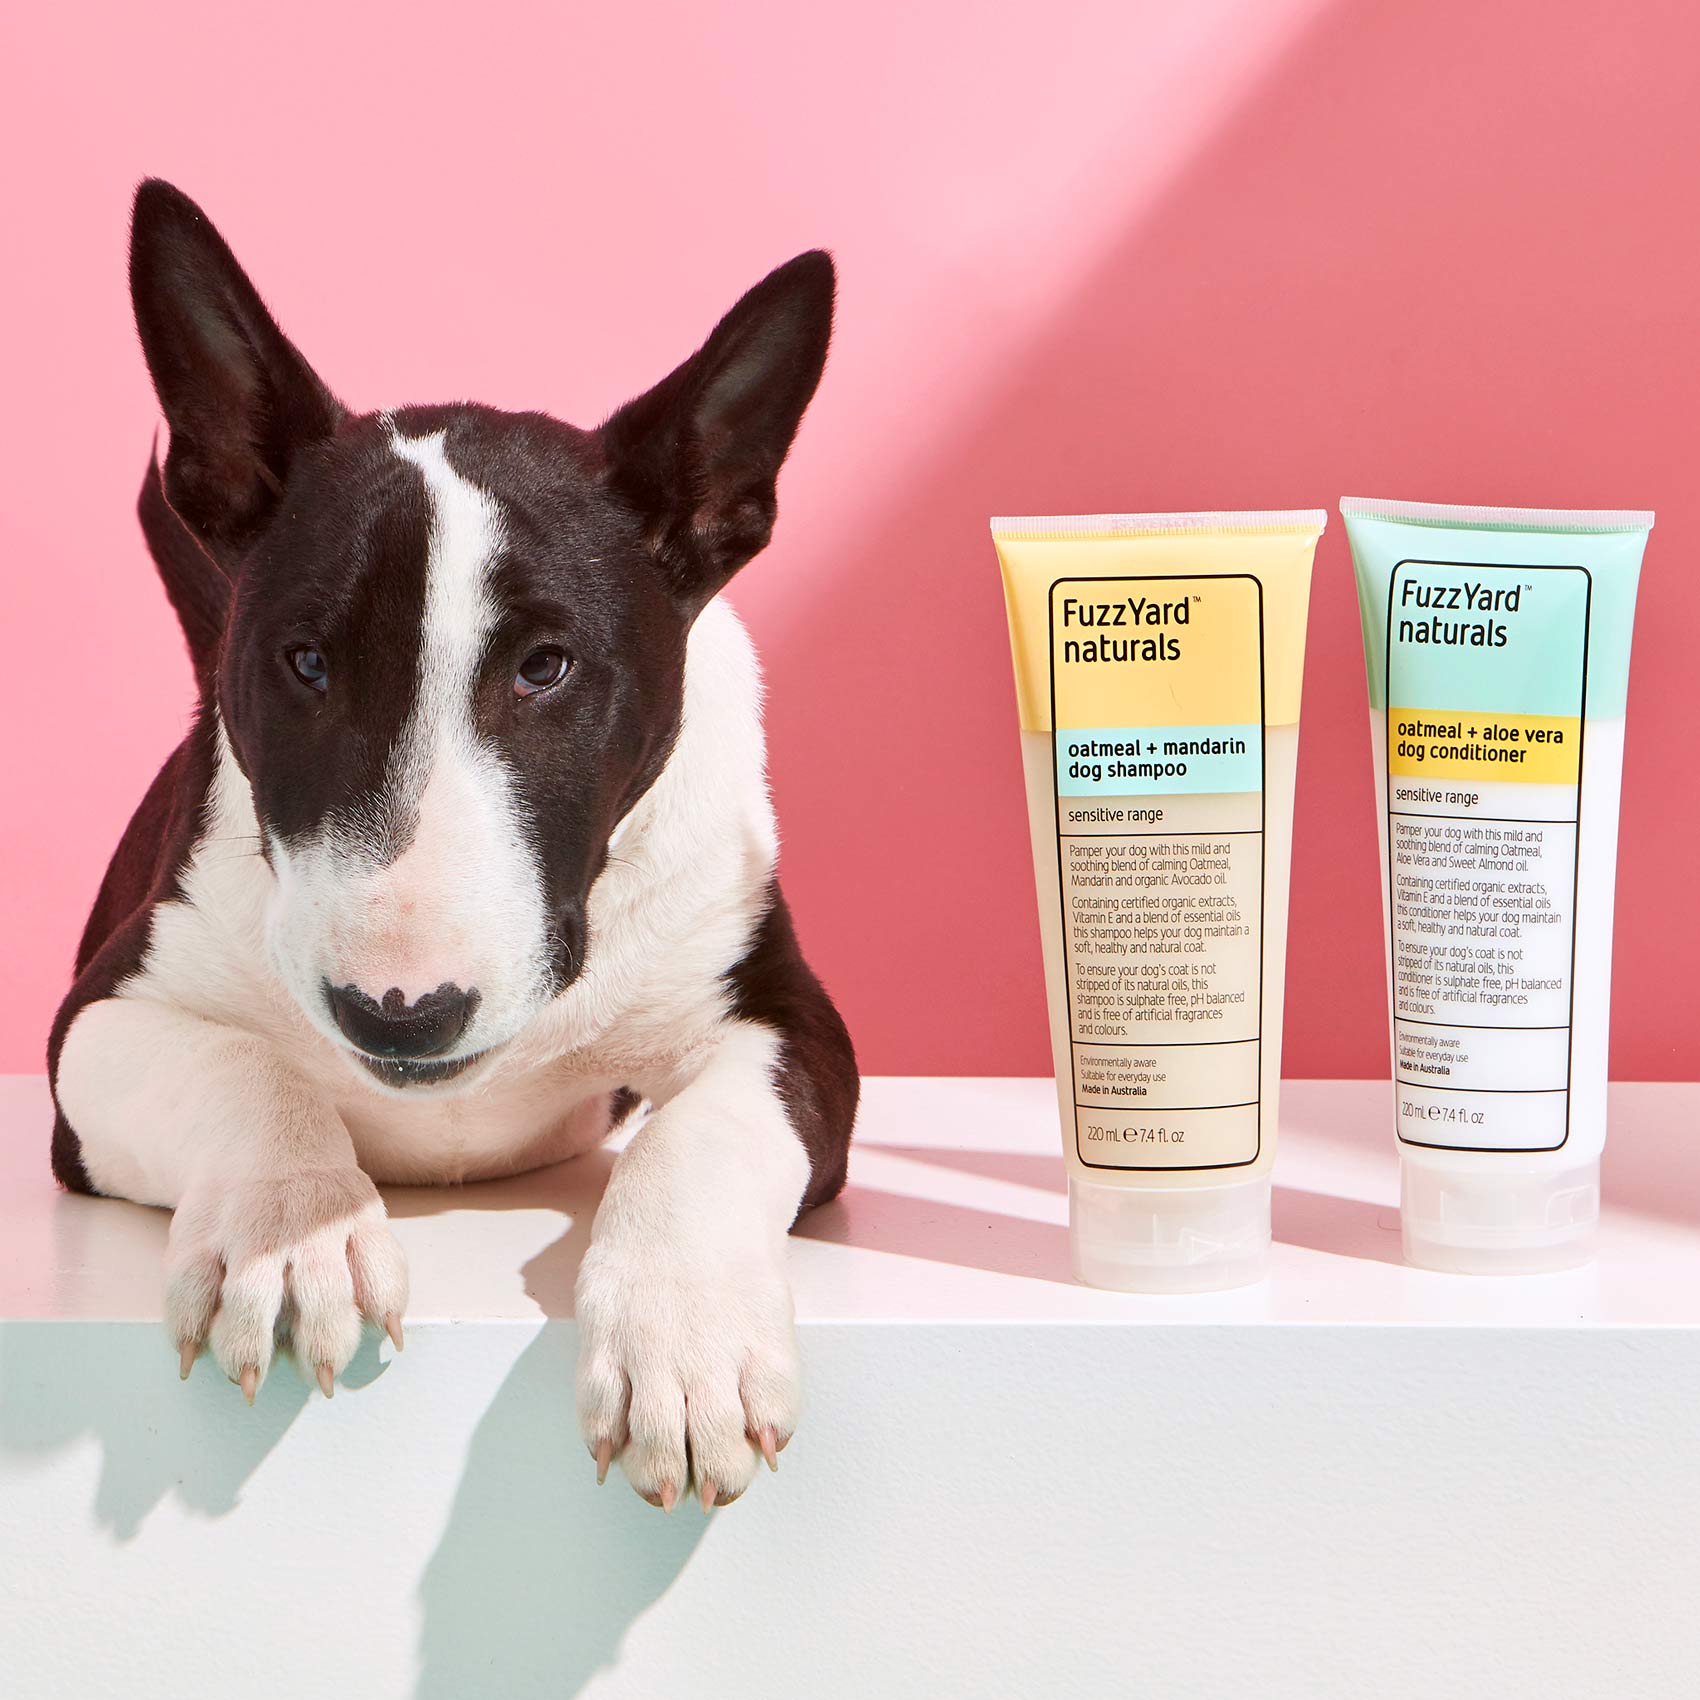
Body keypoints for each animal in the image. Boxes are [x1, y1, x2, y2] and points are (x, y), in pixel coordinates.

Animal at [47, 180, 858, 1512]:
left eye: (547, 666)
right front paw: (296, 1233)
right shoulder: (97, 1019)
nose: (401, 1012)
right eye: (305, 661)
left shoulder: (791, 1015)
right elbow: (239, 1064)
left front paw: (683, 1344)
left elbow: (702, 1128)